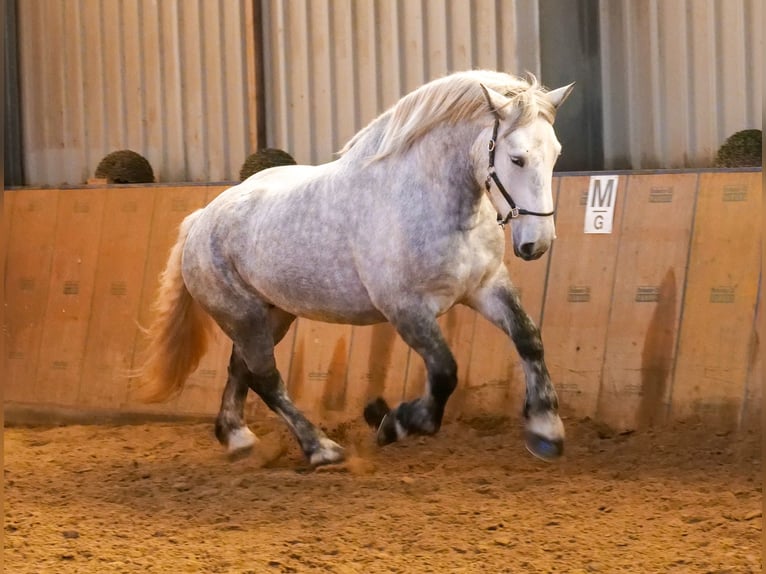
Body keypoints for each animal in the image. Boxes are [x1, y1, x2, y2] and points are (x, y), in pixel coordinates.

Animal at [138, 71, 572, 468]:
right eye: (516, 158)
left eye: (556, 154)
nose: (537, 244)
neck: (429, 202)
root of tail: (201, 220)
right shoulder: (406, 309)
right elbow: (445, 372)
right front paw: (391, 421)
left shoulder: (485, 287)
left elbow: (529, 339)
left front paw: (545, 430)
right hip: (242, 316)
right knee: (266, 378)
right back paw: (320, 449)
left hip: (272, 315)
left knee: (240, 369)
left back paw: (238, 438)